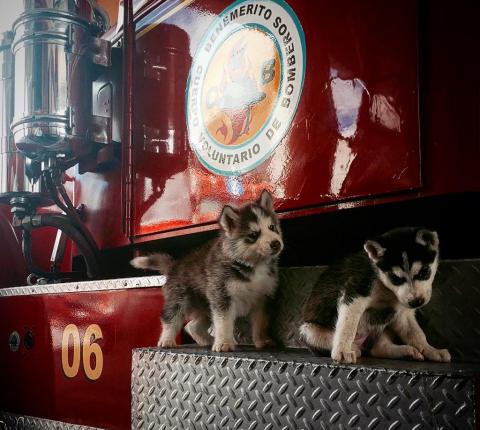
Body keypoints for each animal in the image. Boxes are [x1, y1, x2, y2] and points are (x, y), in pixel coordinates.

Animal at [129, 190, 284, 352]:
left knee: (191, 326)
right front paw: (224, 343)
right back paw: (167, 340)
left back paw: (207, 340)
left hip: (206, 306)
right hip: (179, 300)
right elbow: (224, 322)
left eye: (272, 227)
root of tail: (175, 264)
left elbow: (261, 323)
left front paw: (263, 341)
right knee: (170, 318)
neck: (252, 265)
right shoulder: (222, 297)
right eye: (253, 235)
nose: (276, 244)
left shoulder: (263, 298)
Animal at [300, 227, 450, 364]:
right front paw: (342, 351)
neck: (384, 284)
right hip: (308, 331)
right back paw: (353, 348)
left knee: (378, 348)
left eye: (424, 271)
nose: (416, 302)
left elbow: (416, 333)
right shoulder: (355, 294)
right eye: (395, 278)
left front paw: (431, 350)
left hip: (385, 322)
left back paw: (406, 352)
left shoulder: (402, 312)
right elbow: (348, 326)